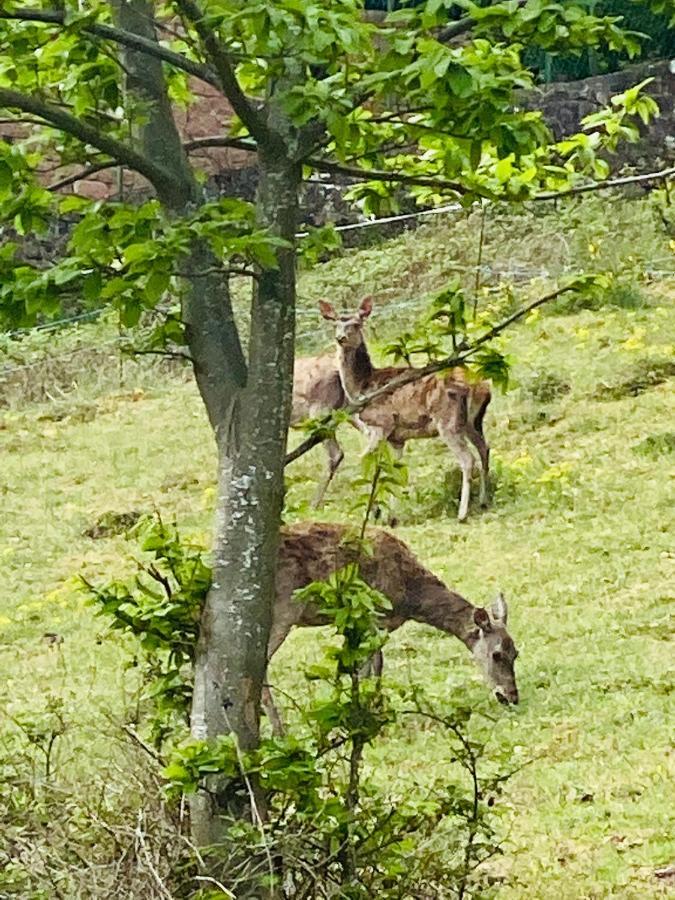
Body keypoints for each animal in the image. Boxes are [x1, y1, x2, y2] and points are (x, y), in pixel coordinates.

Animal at [262, 520, 520, 732]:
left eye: (516, 653)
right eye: (496, 654)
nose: (511, 696)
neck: (410, 596)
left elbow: (367, 666)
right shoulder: (376, 616)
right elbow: (373, 664)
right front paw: (370, 712)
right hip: (284, 610)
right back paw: (279, 731)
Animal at [318, 298, 492, 520]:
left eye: (356, 324)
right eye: (335, 324)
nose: (341, 338)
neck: (361, 389)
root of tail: (481, 386)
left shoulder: (381, 424)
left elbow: (366, 460)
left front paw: (374, 511)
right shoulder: (397, 439)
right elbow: (394, 470)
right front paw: (391, 515)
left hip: (447, 421)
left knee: (468, 459)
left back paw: (462, 513)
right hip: (473, 421)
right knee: (484, 449)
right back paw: (484, 500)